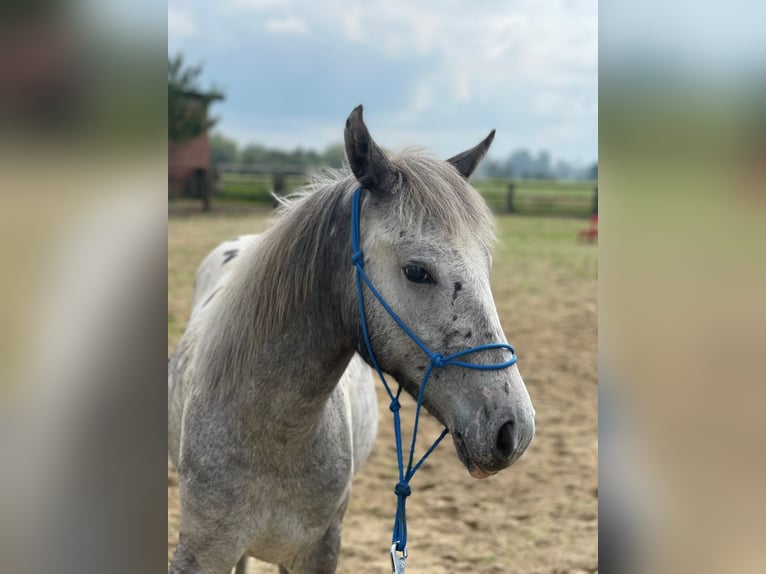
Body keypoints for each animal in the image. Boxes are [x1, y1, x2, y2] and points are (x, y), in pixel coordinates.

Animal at [170, 104, 536, 574]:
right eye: (416, 271)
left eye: (486, 265)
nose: (515, 429)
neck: (271, 437)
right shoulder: (200, 553)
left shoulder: (319, 552)